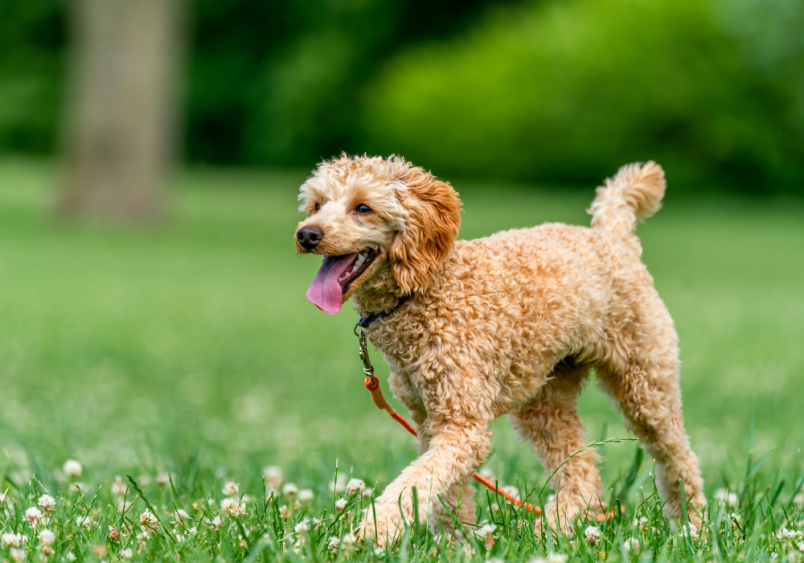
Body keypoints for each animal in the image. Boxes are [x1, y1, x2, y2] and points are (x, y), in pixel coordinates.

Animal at [294, 156, 704, 544]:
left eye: (363, 207)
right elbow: (445, 491)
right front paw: (453, 543)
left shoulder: (462, 424)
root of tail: (613, 236)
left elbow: (415, 483)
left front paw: (371, 533)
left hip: (646, 381)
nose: (306, 234)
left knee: (678, 457)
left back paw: (692, 527)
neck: (428, 289)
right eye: (316, 205)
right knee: (583, 468)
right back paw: (555, 528)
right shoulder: (430, 420)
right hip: (545, 398)